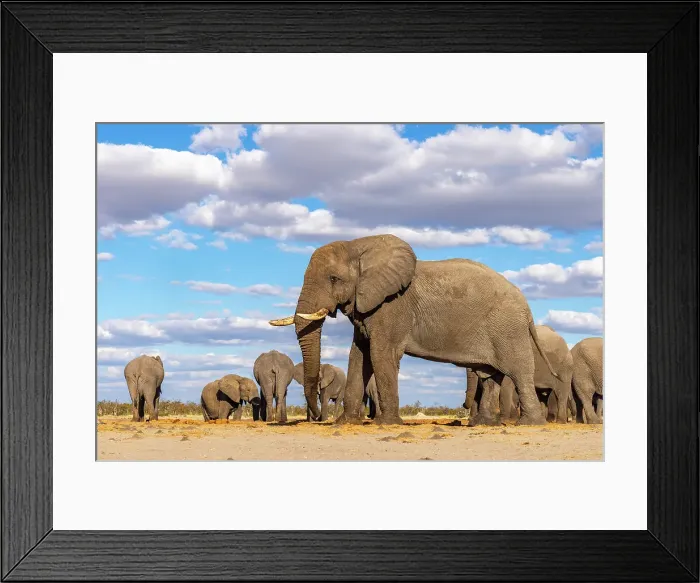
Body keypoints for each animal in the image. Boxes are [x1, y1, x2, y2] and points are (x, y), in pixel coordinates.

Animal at [269, 234, 559, 426]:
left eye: (334, 279)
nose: (317, 418)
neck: (360, 246)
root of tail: (527, 307)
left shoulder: (391, 306)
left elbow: (381, 353)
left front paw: (386, 424)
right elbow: (358, 356)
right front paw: (346, 423)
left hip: (507, 328)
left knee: (518, 371)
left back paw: (529, 424)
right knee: (490, 376)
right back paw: (483, 425)